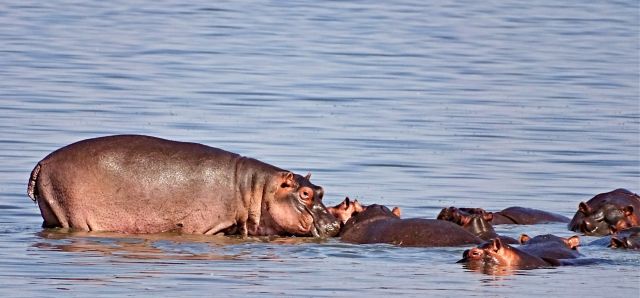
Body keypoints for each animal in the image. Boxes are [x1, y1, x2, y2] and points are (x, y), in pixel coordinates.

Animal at [26, 135, 340, 237]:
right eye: (305, 193)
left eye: (321, 190)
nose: (335, 224)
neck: (256, 188)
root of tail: (42, 161)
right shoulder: (207, 226)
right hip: (71, 213)